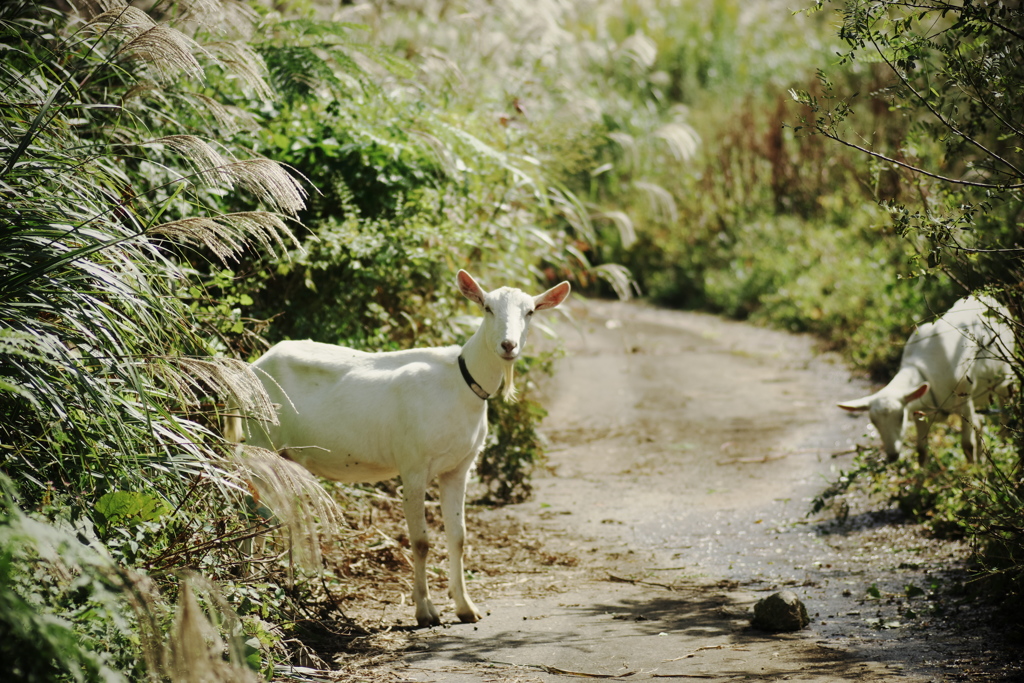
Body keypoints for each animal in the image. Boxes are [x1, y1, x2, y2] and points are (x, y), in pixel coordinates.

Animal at [225, 270, 573, 626]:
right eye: (487, 307)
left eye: (530, 312)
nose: (508, 345)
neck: (461, 383)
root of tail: (247, 370)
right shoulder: (414, 467)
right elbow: (421, 542)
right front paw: (426, 611)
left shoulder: (458, 468)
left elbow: (458, 537)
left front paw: (465, 607)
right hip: (259, 442)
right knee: (250, 510)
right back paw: (248, 582)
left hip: (281, 457)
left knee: (268, 514)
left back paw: (272, 583)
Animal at [839, 294, 1015, 464]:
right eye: (874, 422)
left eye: (901, 417)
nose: (892, 456)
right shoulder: (920, 412)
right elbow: (921, 451)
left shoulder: (965, 399)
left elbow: (967, 446)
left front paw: (973, 472)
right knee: (980, 424)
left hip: (1005, 380)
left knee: (1005, 416)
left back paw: (1005, 448)